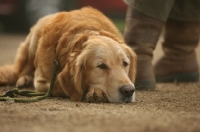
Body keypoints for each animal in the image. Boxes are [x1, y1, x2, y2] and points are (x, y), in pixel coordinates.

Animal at [0, 6, 137, 103]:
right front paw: (94, 91)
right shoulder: (41, 81)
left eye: (125, 63)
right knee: (21, 71)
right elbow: (59, 86)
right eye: (101, 66)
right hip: (33, 43)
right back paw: (25, 79)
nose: (129, 91)